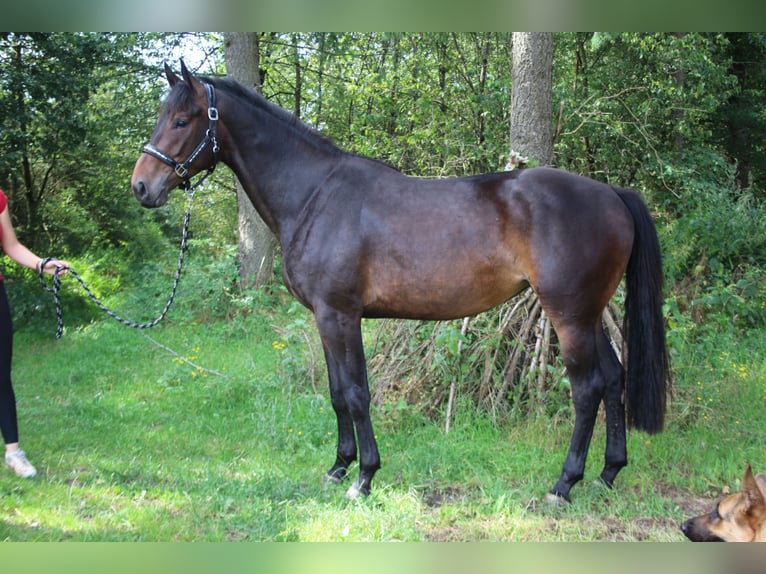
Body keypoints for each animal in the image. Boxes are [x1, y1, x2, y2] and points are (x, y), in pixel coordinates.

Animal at [129, 63, 668, 504]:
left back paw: (564, 484)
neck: (315, 195)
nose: (141, 186)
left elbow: (356, 394)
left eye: (182, 120)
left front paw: (364, 478)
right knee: (614, 378)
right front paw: (337, 467)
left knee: (588, 388)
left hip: (568, 315)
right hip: (589, 313)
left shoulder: (340, 314)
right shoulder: (325, 317)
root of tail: (611, 194)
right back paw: (608, 474)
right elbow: (336, 392)